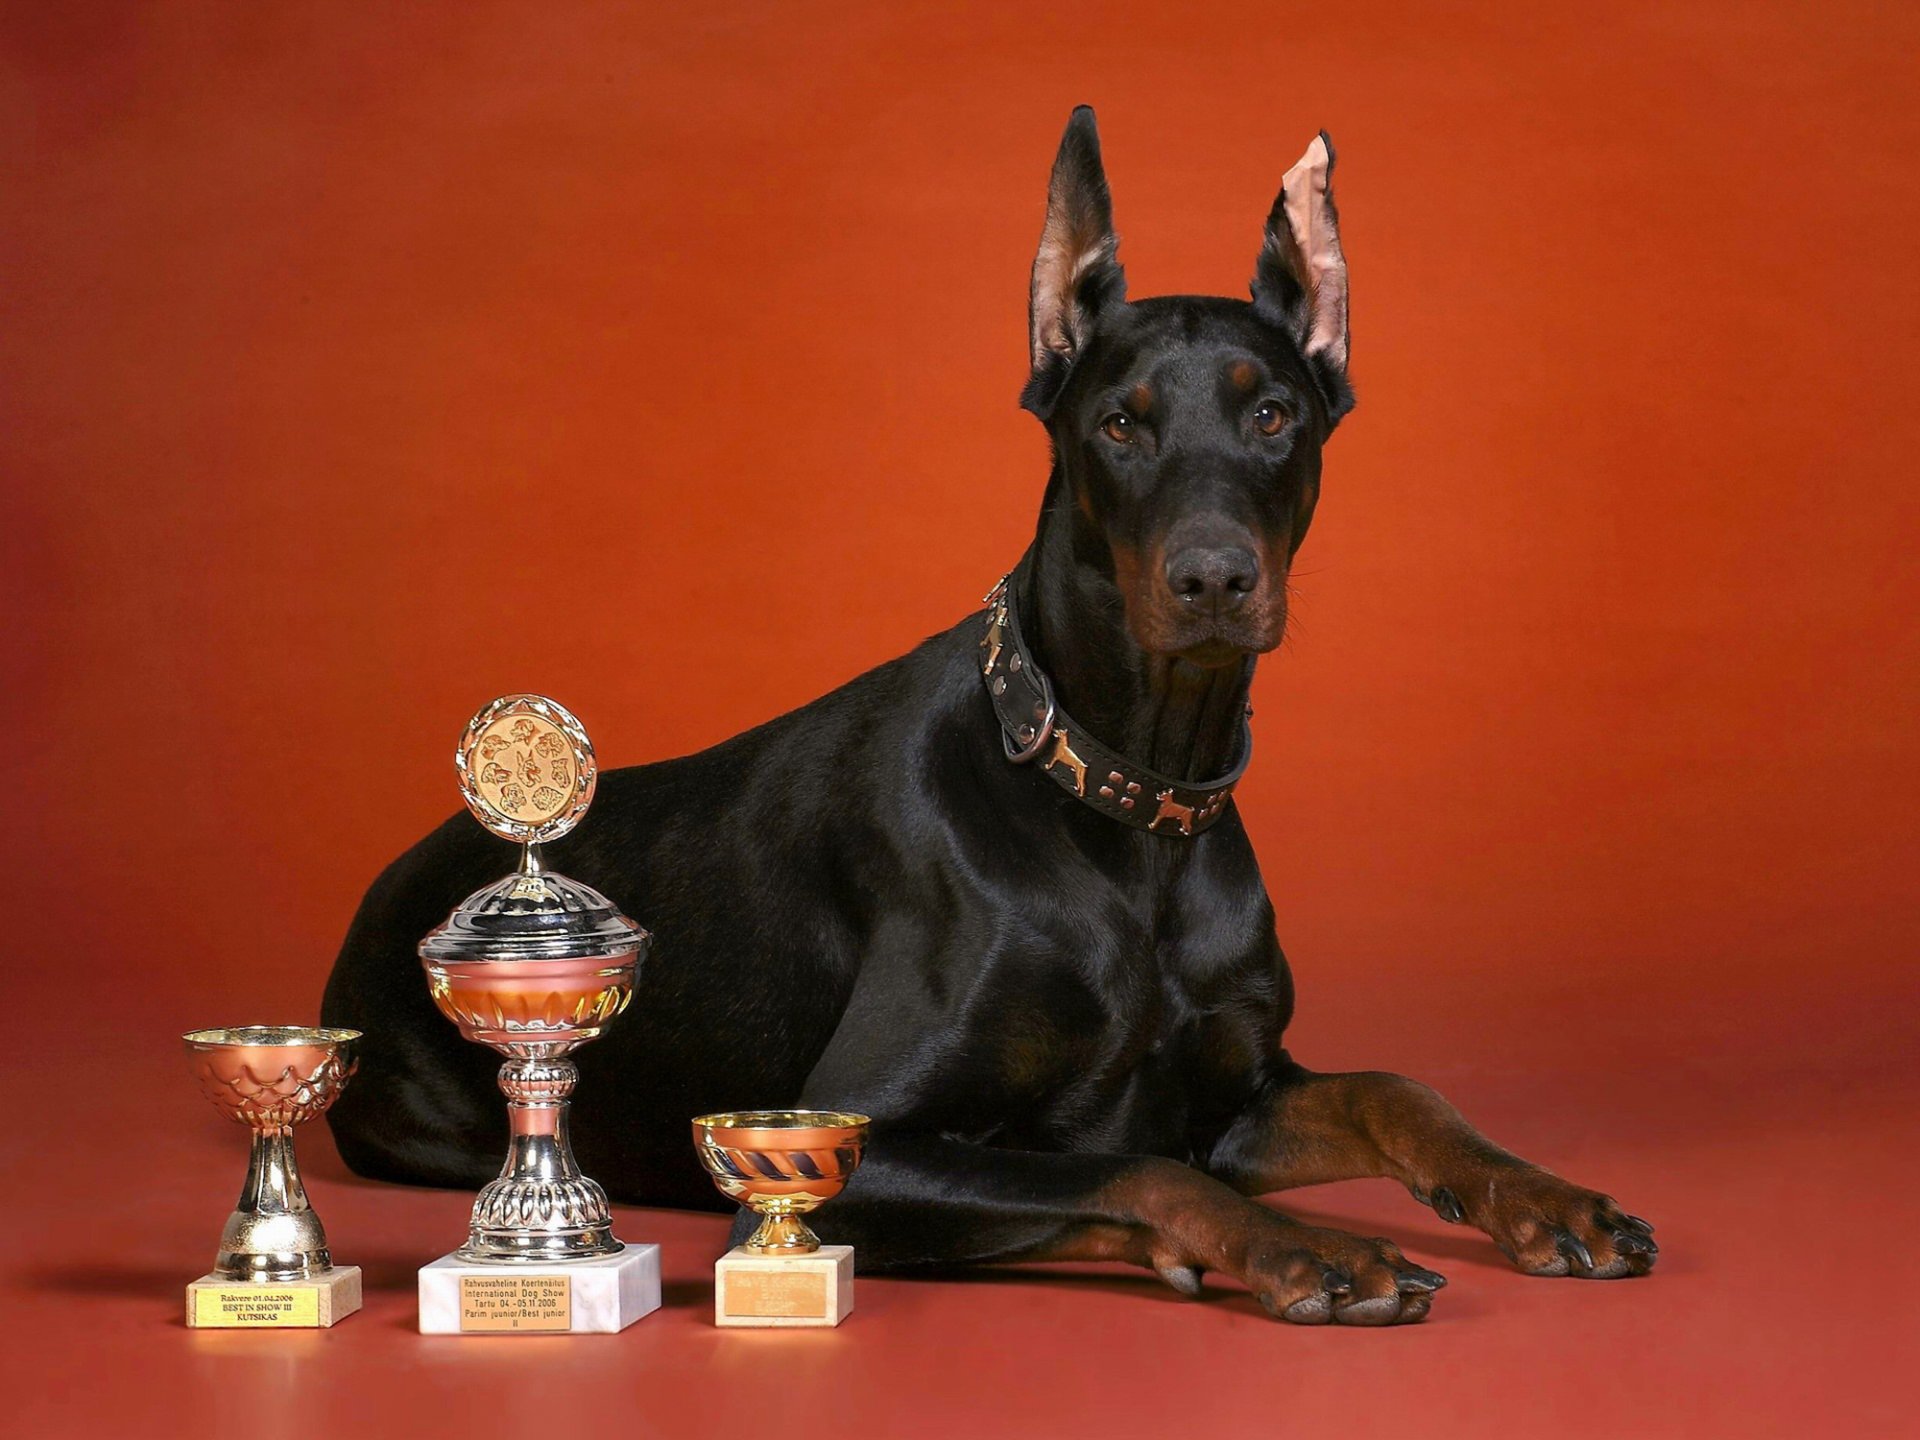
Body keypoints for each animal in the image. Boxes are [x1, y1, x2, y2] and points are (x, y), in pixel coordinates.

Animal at [326, 107, 1651, 1328]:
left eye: (1274, 413)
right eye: (1118, 423)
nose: (1214, 579)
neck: (1128, 796)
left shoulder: (1237, 1095)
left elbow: (1394, 1088)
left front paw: (1549, 1198)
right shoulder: (836, 1149)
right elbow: (1136, 1167)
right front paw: (1308, 1247)